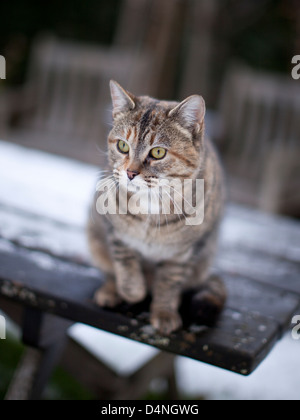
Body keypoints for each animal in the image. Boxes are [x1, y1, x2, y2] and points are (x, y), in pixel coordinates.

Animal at [88, 79, 226, 334]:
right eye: (122, 146)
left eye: (158, 152)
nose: (130, 173)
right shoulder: (115, 231)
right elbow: (125, 262)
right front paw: (133, 291)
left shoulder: (184, 252)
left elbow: (168, 283)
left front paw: (164, 312)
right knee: (110, 270)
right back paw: (111, 291)